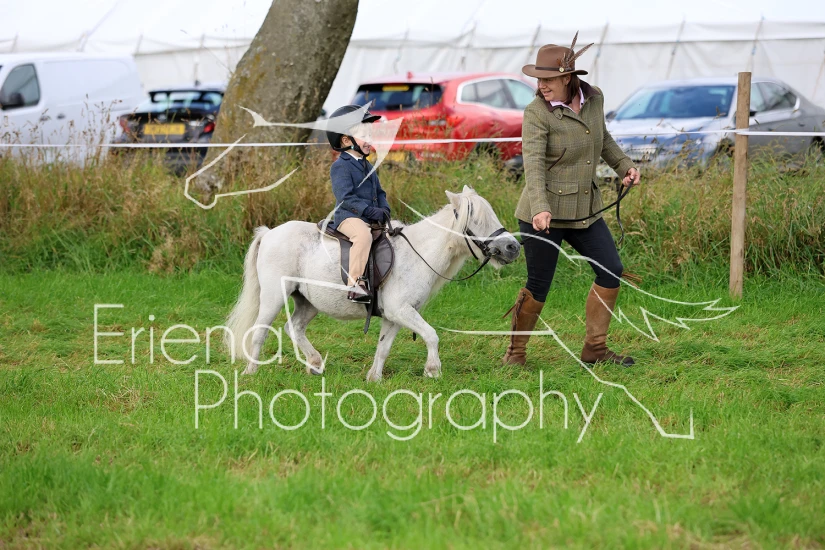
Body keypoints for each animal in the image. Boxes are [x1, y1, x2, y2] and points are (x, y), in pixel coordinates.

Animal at [224, 186, 521, 381]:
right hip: (274, 296)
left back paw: (315, 363)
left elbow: (384, 346)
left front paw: (374, 378)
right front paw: (433, 370)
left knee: (293, 327)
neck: (418, 253)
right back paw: (251, 372)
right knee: (261, 331)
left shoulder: (394, 316)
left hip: (308, 301)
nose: (513, 247)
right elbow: (432, 334)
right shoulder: (402, 311)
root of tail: (269, 233)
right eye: (477, 219)